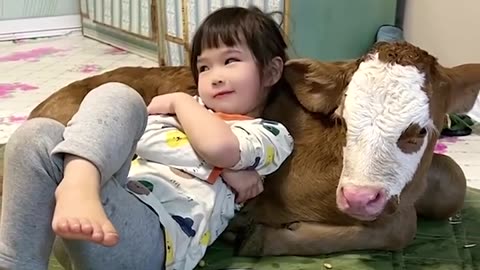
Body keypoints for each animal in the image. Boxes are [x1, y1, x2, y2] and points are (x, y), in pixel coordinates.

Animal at [29, 41, 480, 258]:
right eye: (343, 119)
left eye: (418, 132)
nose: (358, 197)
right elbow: (402, 227)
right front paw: (261, 237)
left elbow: (453, 179)